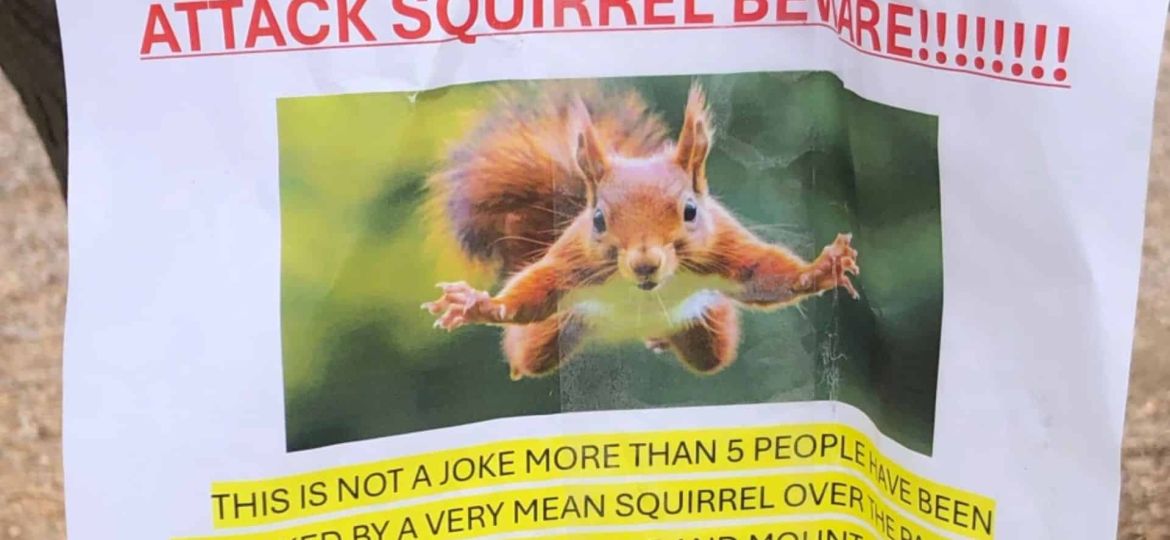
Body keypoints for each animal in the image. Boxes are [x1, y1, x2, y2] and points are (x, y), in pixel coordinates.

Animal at [422, 81, 860, 381]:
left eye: (690, 210)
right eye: (599, 219)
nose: (645, 263)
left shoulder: (722, 247)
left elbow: (762, 274)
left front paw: (820, 269)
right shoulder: (573, 261)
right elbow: (535, 292)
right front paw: (479, 305)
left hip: (706, 333)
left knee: (710, 354)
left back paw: (662, 339)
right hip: (550, 335)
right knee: (529, 351)